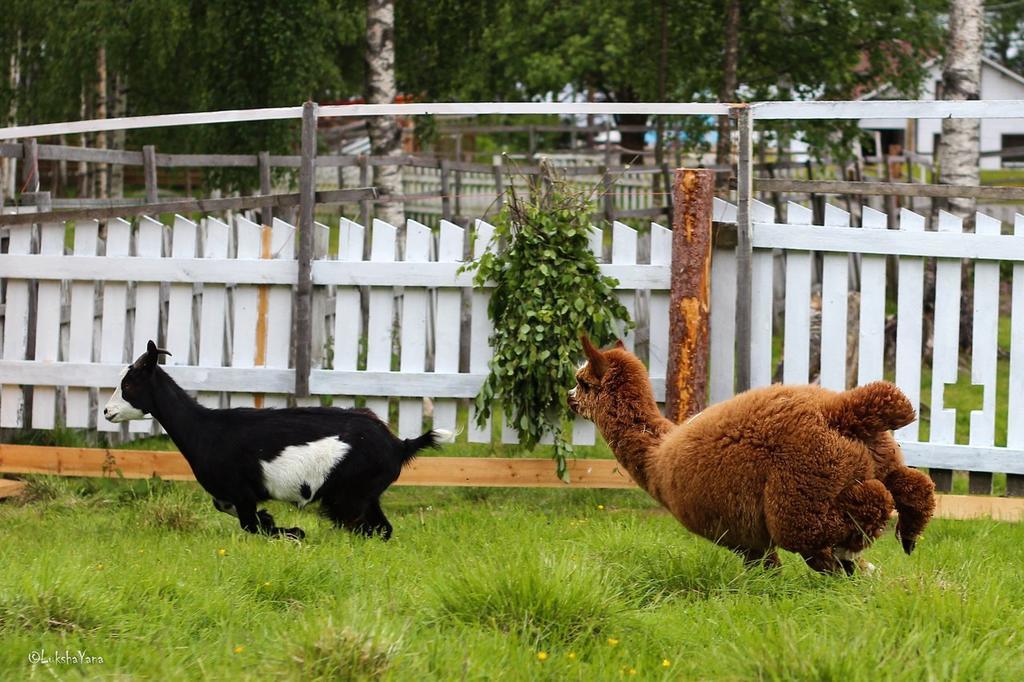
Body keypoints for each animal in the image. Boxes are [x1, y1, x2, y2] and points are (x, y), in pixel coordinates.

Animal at [102, 342, 448, 540]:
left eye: (129, 385)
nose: (107, 411)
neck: (205, 429)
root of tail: (399, 445)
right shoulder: (233, 496)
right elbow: (237, 514)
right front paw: (275, 523)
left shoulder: (241, 491)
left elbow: (249, 525)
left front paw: (293, 532)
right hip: (365, 496)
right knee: (382, 529)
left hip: (348, 497)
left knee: (366, 527)